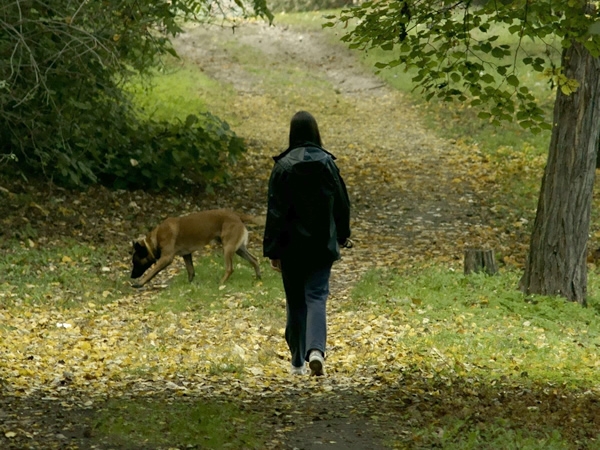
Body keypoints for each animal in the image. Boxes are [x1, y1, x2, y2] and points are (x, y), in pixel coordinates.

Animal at [130, 208, 262, 286]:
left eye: (135, 262)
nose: (131, 276)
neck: (155, 239)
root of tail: (236, 215)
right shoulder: (186, 255)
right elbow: (191, 271)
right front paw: (190, 284)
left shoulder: (166, 258)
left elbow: (152, 271)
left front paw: (140, 283)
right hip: (239, 249)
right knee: (254, 259)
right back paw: (258, 278)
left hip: (228, 248)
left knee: (230, 268)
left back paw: (220, 283)